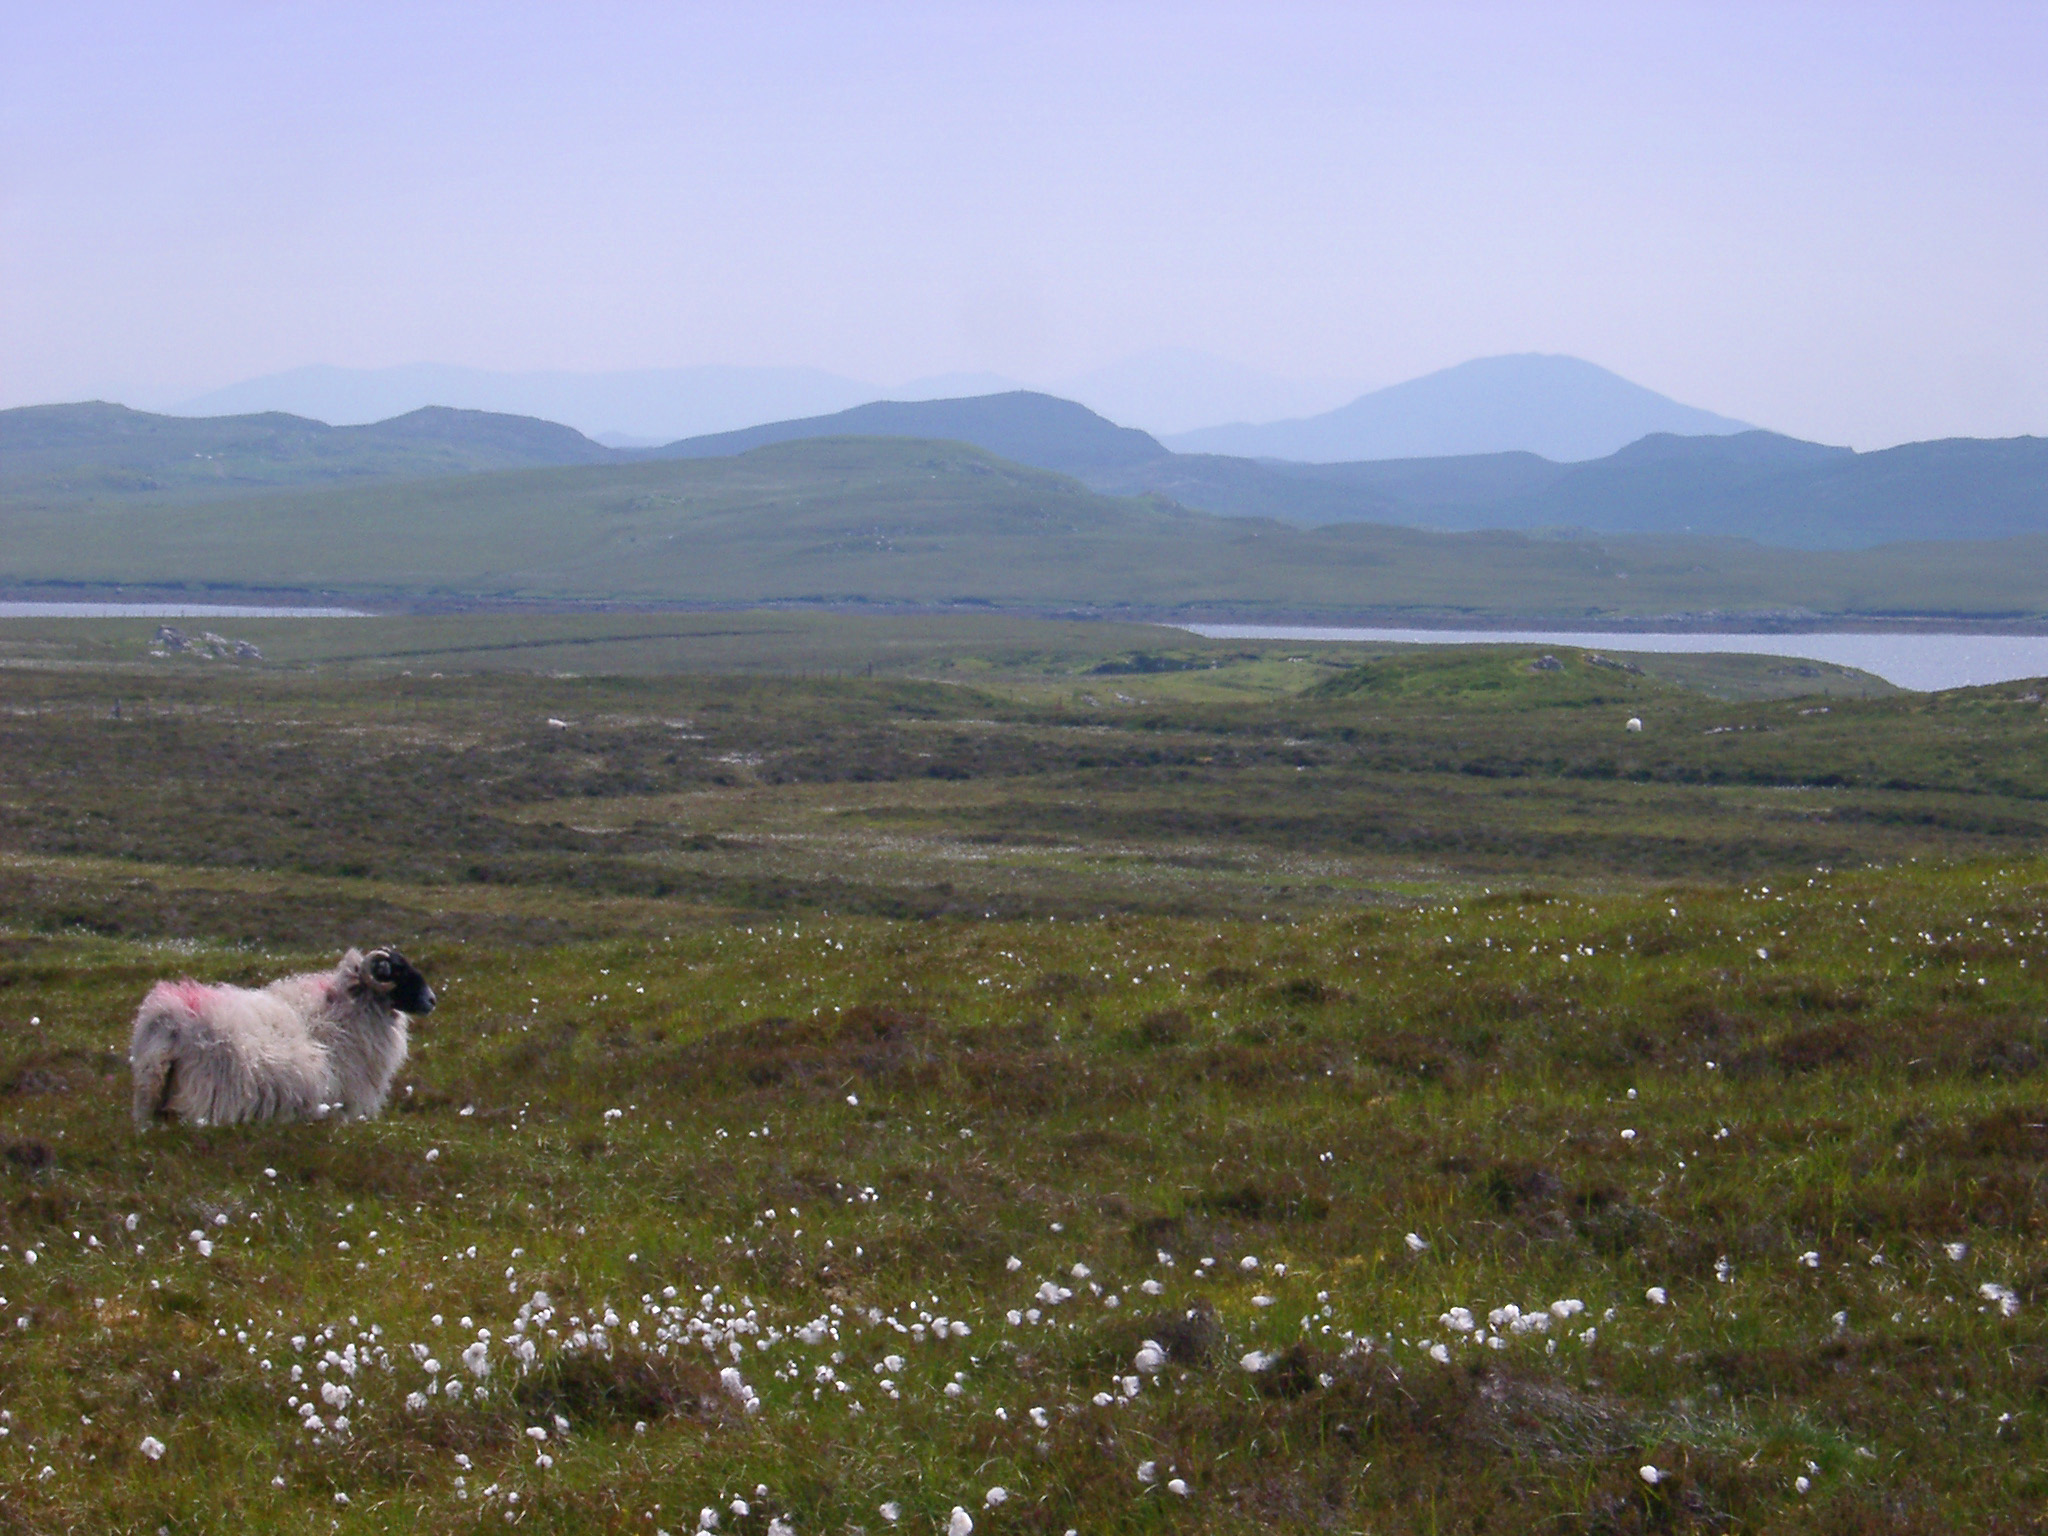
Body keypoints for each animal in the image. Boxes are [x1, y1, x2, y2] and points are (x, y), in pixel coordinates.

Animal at [129, 947, 435, 1130]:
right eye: (397, 971)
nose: (432, 1000)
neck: (343, 1012)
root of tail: (170, 1017)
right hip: (206, 1093)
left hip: (150, 1087)